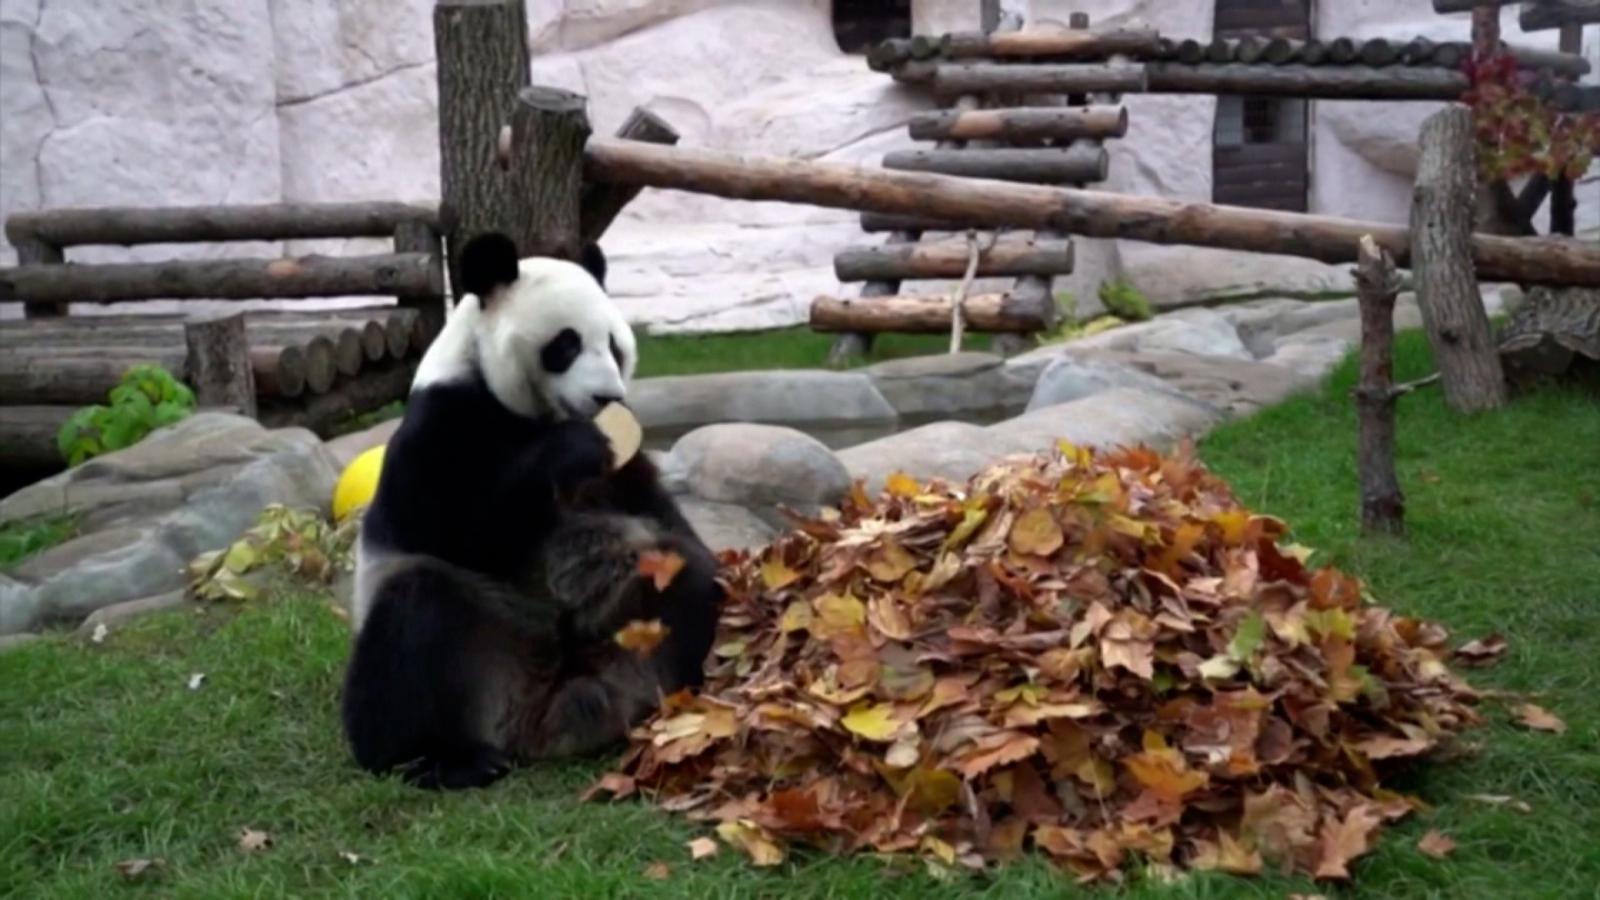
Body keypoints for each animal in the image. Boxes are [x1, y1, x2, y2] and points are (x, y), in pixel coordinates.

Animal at [347, 229, 729, 784]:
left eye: (613, 344)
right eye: (566, 344)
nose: (606, 397)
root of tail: (541, 719)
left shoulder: (625, 464)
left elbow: (658, 510)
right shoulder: (441, 422)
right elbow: (450, 528)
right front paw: (572, 449)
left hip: (620, 616)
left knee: (687, 578)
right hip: (485, 640)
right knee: (412, 615)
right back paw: (435, 759)